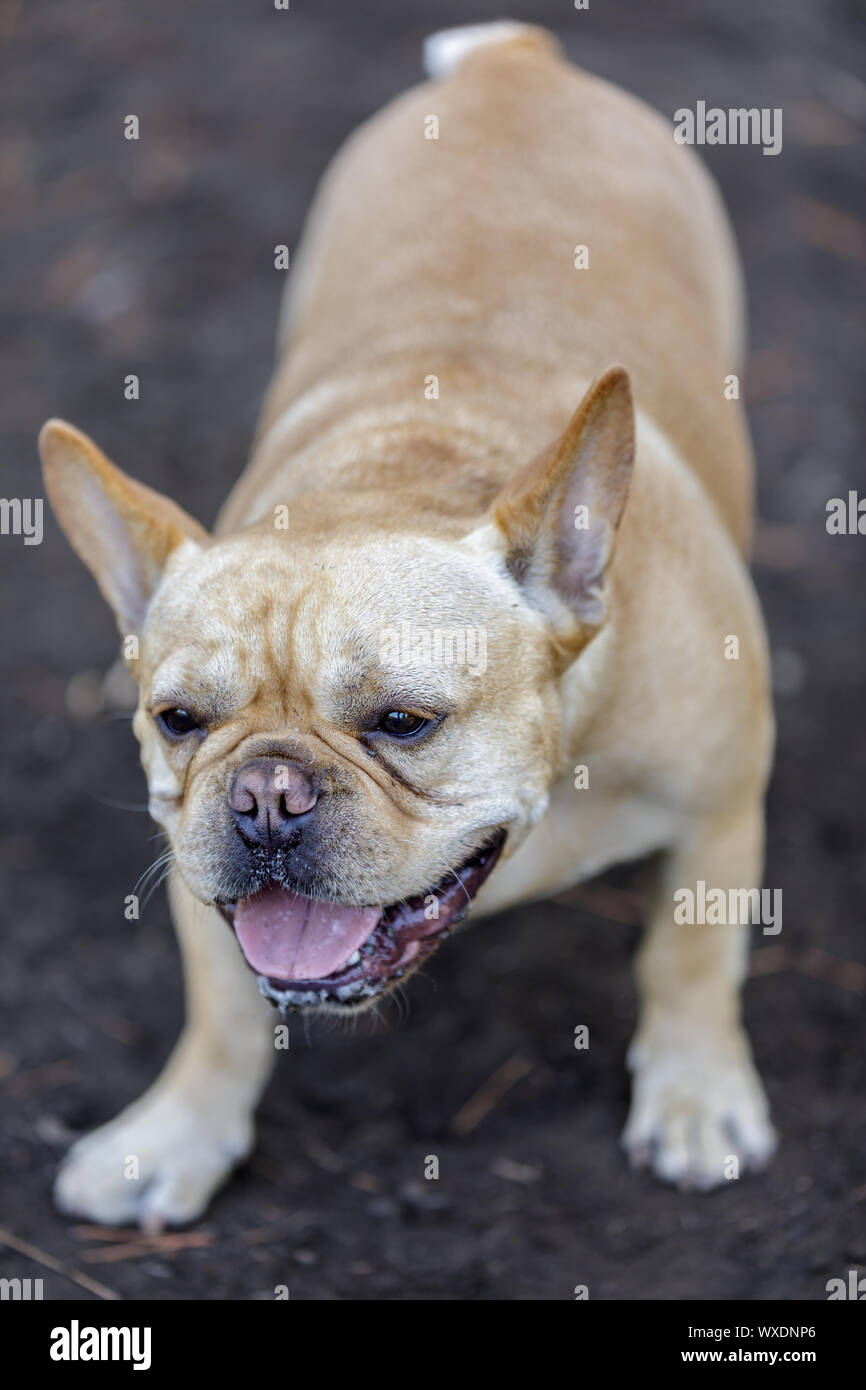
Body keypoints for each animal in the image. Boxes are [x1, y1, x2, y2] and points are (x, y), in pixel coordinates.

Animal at [37, 24, 778, 1228]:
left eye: (403, 721)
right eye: (180, 720)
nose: (267, 794)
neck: (401, 474)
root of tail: (512, 59)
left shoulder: (720, 808)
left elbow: (689, 955)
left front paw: (695, 1095)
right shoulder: (203, 882)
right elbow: (221, 1018)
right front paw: (174, 1136)